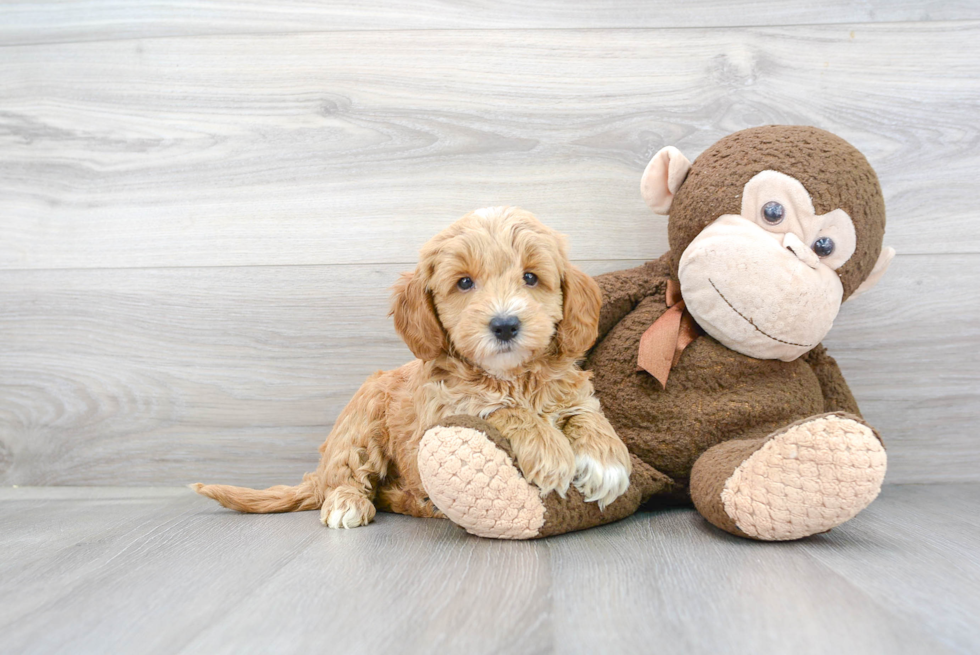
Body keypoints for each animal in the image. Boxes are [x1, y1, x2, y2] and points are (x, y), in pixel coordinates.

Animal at [195, 208, 632, 532]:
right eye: (464, 283)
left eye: (530, 277)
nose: (505, 325)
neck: (512, 376)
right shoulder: (443, 408)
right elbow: (503, 409)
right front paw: (551, 451)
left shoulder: (570, 388)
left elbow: (586, 413)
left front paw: (606, 463)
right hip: (361, 422)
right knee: (347, 476)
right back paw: (348, 503)